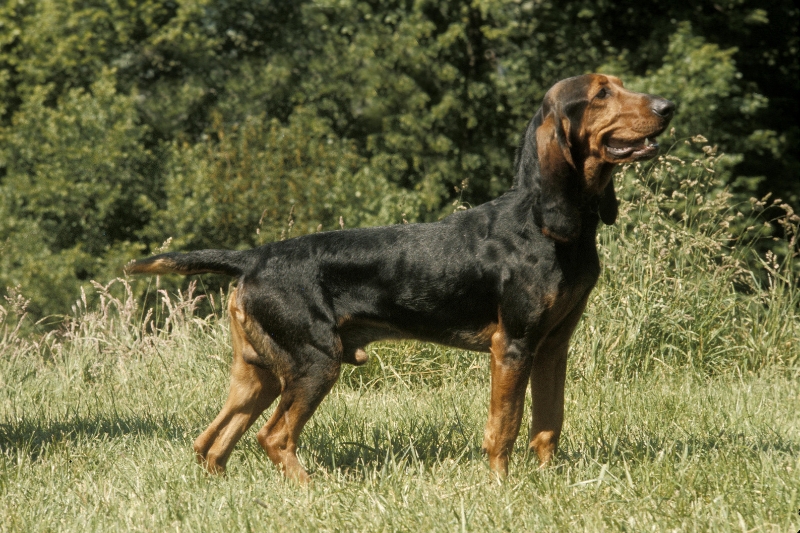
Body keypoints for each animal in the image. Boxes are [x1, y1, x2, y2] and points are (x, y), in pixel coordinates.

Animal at [128, 72, 672, 480]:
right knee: (273, 436)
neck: (546, 221)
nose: (669, 106)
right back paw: (313, 491)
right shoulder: (513, 346)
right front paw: (501, 488)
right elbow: (505, 427)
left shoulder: (554, 345)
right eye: (601, 94)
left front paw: (548, 482)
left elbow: (548, 424)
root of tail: (253, 258)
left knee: (210, 442)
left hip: (257, 373)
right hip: (314, 362)